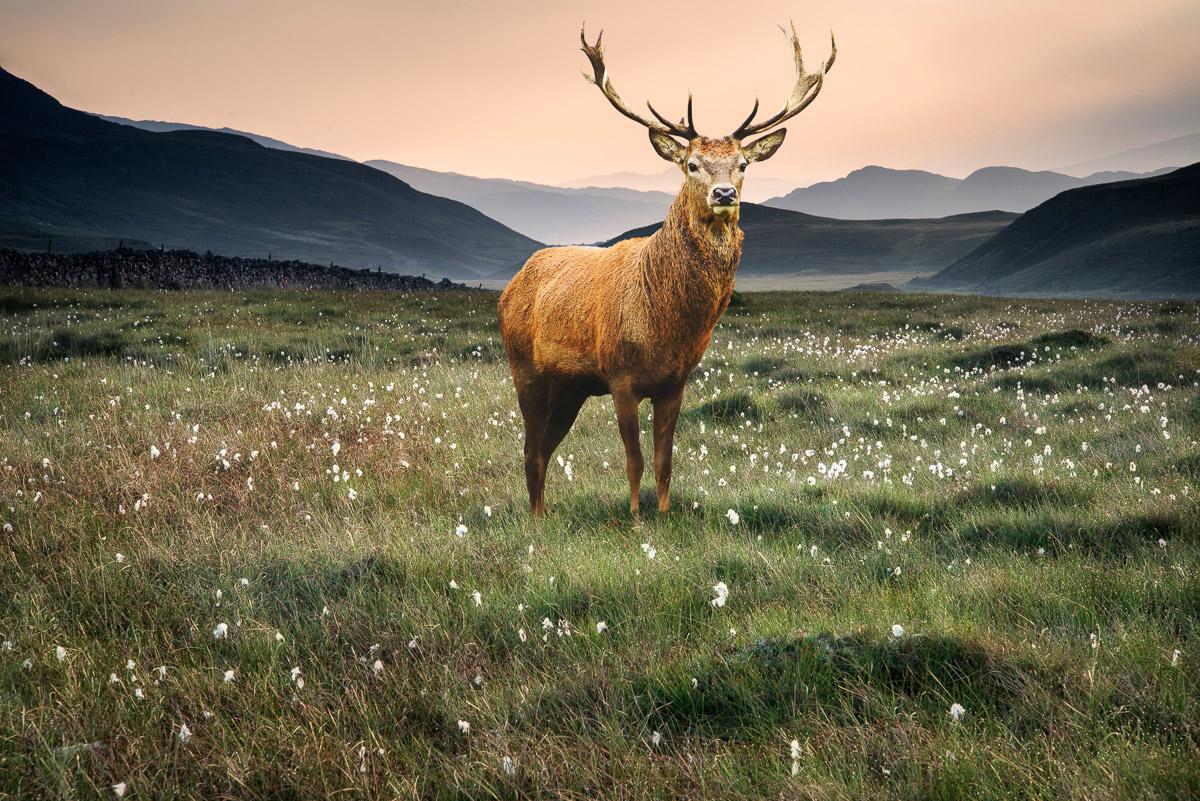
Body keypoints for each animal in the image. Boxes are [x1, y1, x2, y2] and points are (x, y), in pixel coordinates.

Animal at [499, 23, 835, 517]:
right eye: (691, 164)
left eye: (742, 164)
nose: (723, 193)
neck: (665, 324)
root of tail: (510, 286)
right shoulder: (620, 376)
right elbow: (634, 460)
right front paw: (636, 517)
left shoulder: (676, 381)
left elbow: (664, 460)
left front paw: (662, 513)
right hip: (525, 367)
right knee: (530, 449)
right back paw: (538, 519)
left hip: (570, 387)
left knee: (544, 446)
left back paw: (542, 513)